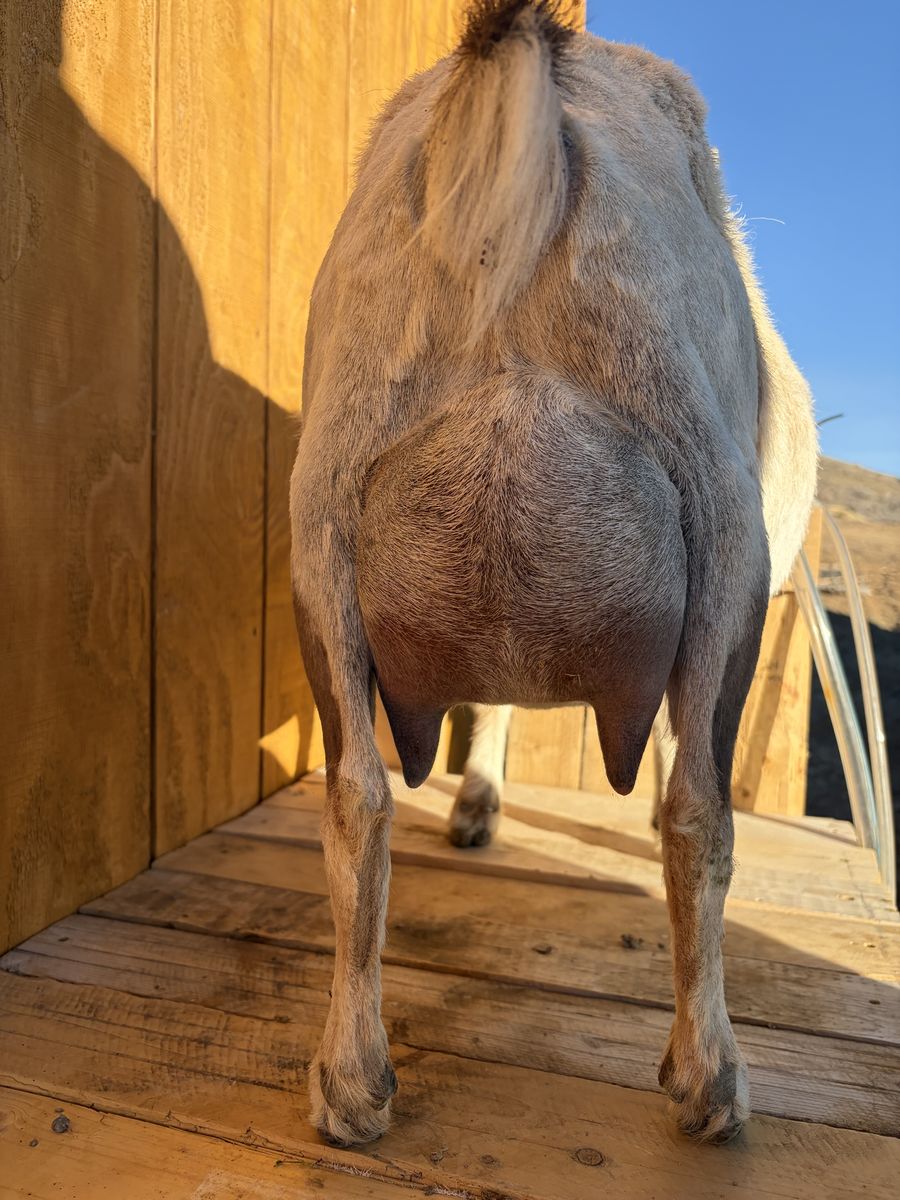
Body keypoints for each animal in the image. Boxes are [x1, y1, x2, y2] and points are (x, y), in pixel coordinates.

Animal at [290, 0, 817, 1148]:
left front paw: (479, 807)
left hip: (322, 520)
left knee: (356, 796)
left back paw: (352, 1083)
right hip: (724, 524)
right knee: (698, 811)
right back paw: (709, 1082)